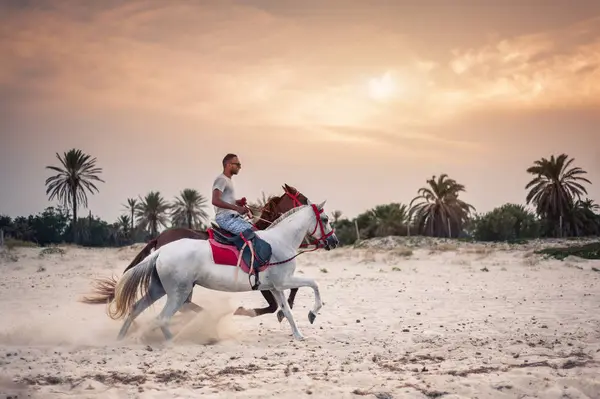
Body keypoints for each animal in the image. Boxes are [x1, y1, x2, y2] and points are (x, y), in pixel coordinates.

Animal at [82, 186, 310, 320]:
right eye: (303, 198)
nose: (312, 206)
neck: (269, 236)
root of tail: (159, 238)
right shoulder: (260, 279)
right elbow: (272, 305)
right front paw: (246, 311)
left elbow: (290, 291)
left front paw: (287, 306)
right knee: (184, 304)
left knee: (184, 304)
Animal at [106, 202, 338, 342]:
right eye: (326, 219)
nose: (334, 242)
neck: (280, 241)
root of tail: (162, 249)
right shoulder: (283, 282)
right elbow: (314, 284)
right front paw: (312, 313)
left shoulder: (275, 287)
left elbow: (286, 311)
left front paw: (298, 334)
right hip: (178, 293)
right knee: (163, 318)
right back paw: (176, 340)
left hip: (159, 289)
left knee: (135, 309)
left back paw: (120, 339)